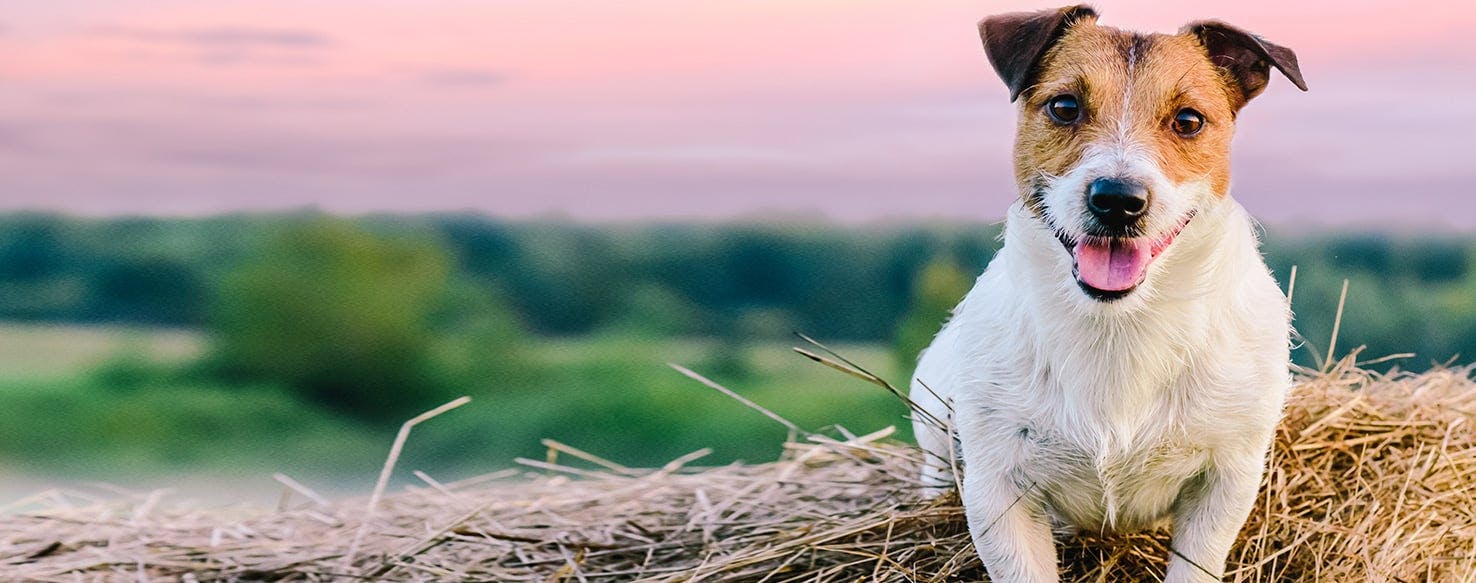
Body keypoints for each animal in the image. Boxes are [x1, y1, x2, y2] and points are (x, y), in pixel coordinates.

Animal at [909, 5, 1304, 583]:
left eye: (1189, 120)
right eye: (1065, 107)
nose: (1117, 199)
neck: (1118, 328)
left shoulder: (1225, 480)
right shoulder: (999, 489)